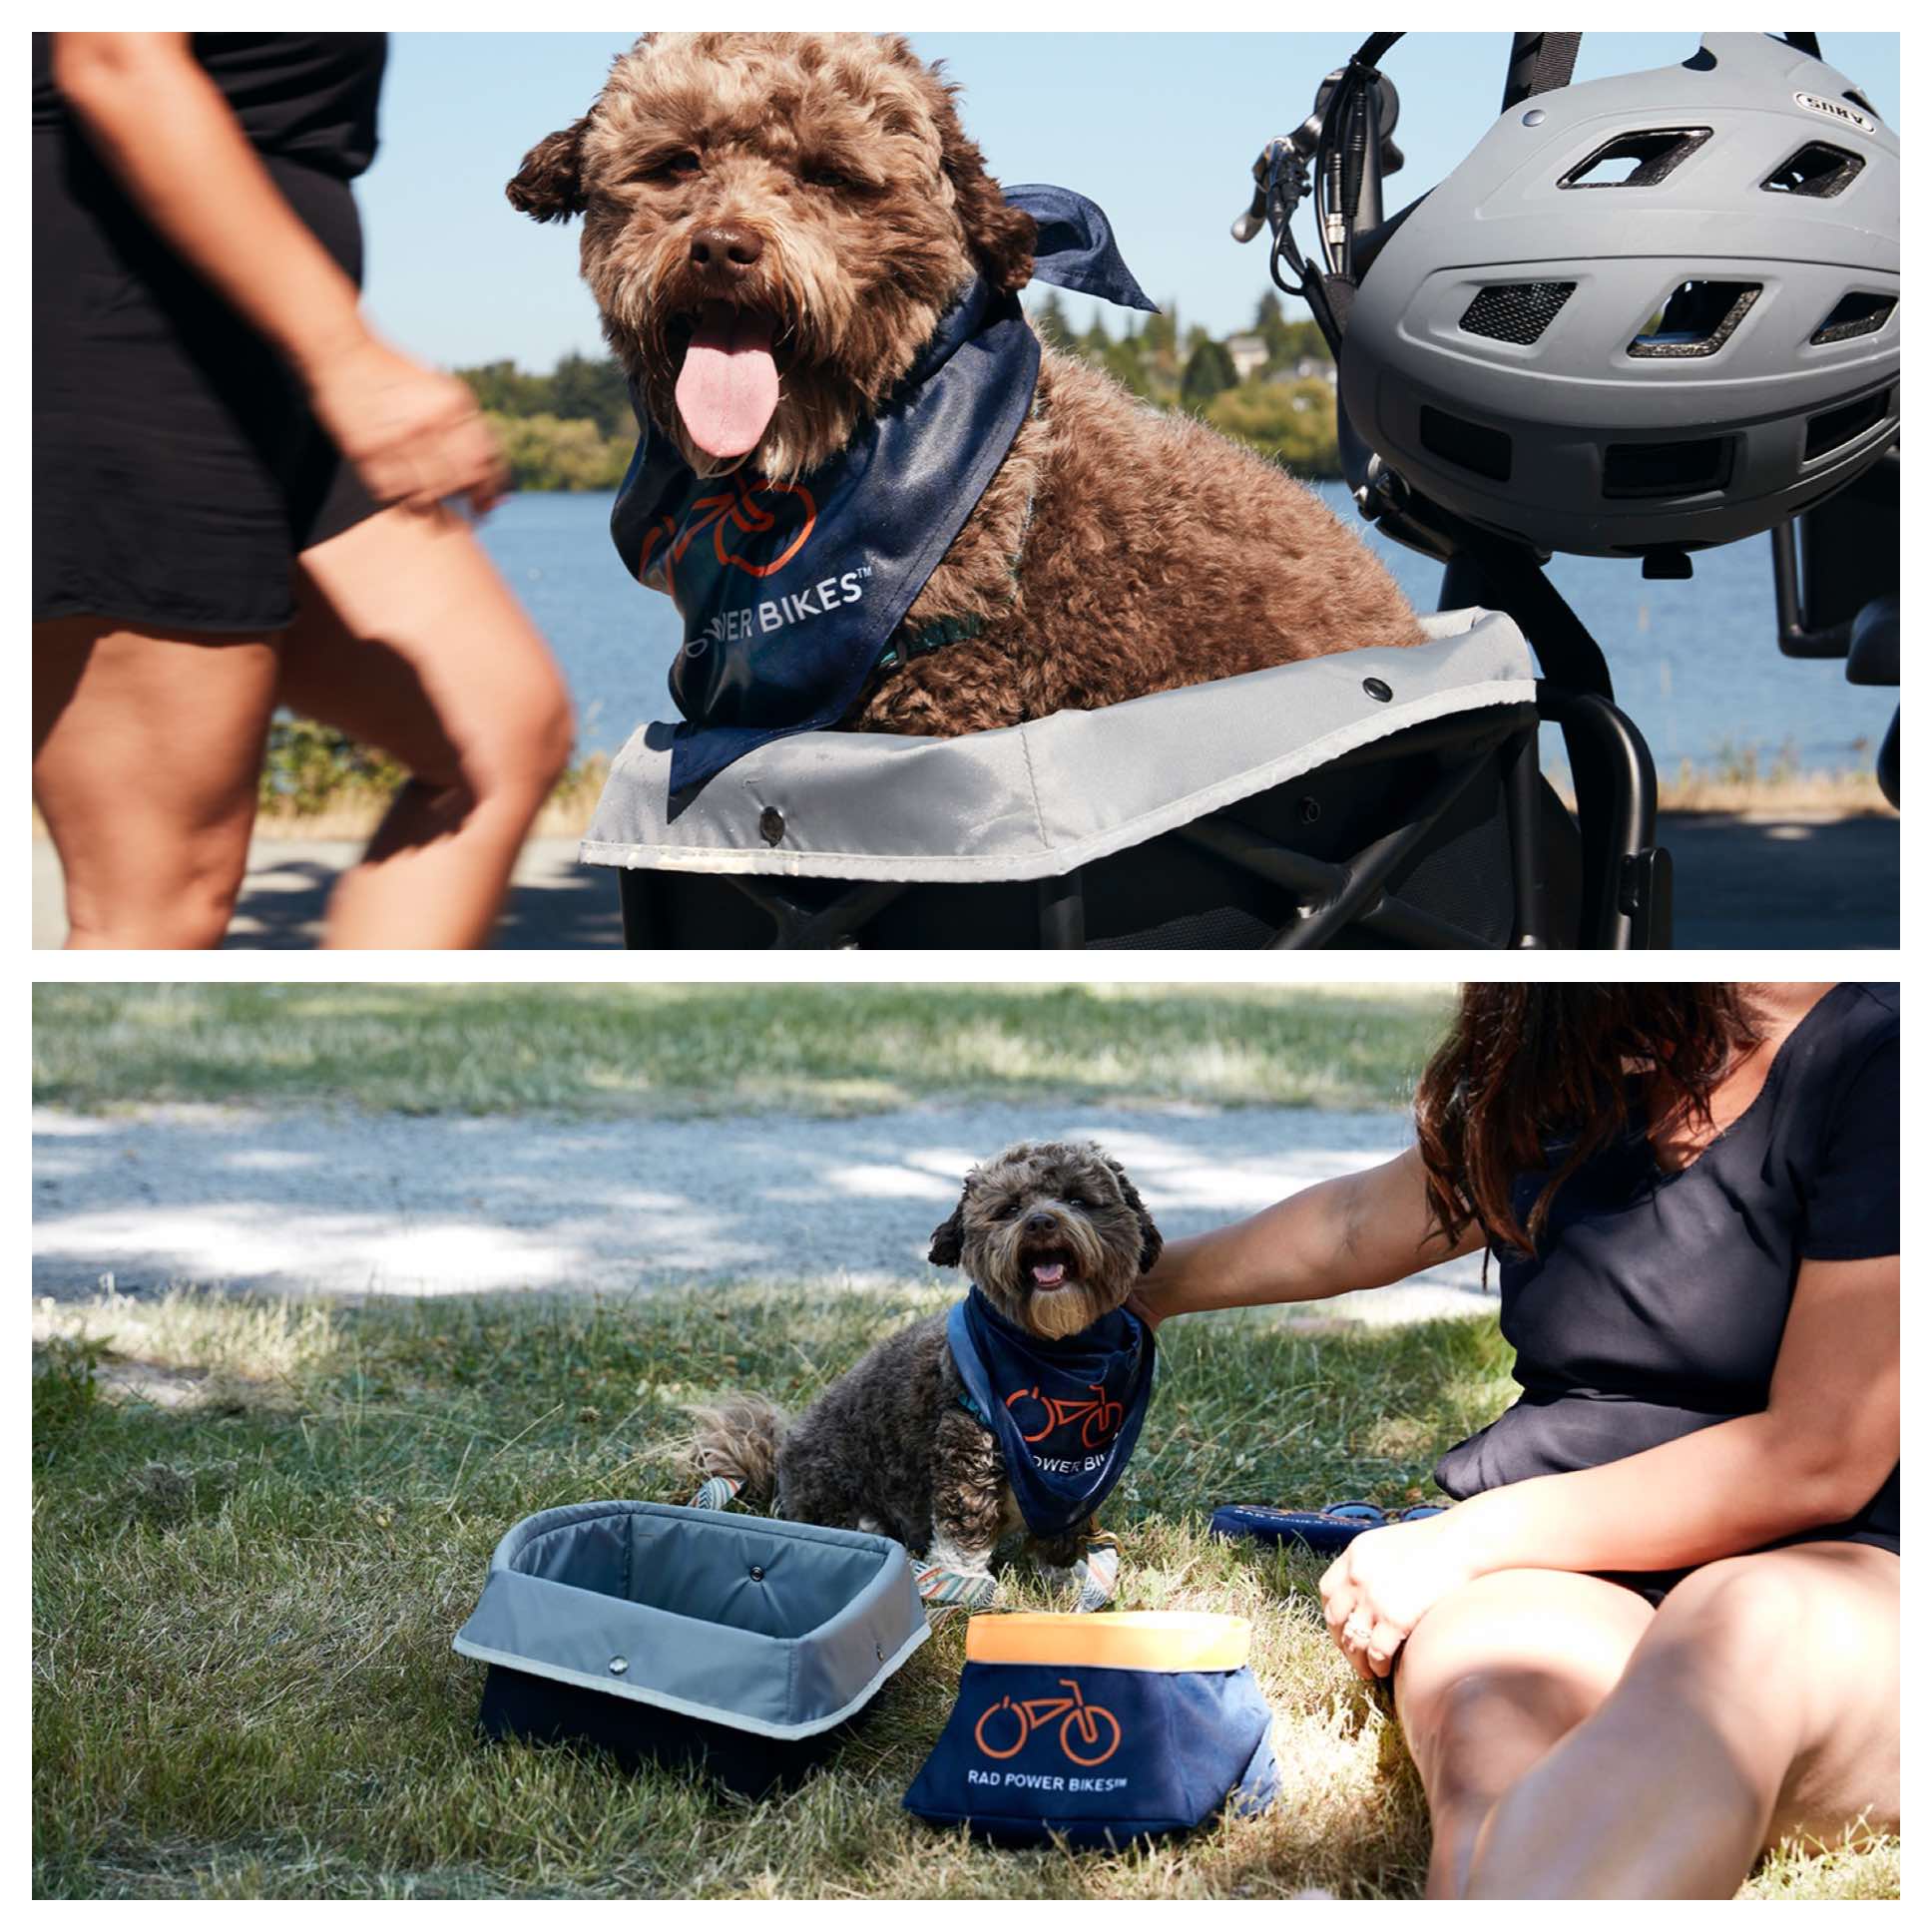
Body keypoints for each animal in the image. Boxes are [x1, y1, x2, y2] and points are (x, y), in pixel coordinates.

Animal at [688, 1136, 1151, 1607]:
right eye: (1010, 1208)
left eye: (1078, 1199)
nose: (1040, 1222)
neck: (1053, 1350)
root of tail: (778, 1466)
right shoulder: (966, 1448)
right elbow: (963, 1527)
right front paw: (962, 1583)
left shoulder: (1075, 1482)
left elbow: (1064, 1525)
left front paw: (1063, 1573)